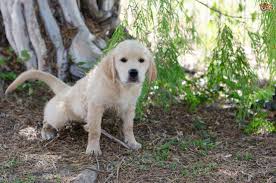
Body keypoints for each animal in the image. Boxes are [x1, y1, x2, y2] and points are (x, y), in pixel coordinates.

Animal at [5, 39, 157, 155]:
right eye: (123, 60)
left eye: (141, 60)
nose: (133, 72)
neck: (122, 86)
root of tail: (66, 90)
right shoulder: (96, 106)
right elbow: (96, 131)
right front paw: (93, 149)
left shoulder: (129, 108)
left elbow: (128, 127)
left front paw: (132, 142)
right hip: (59, 116)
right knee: (47, 119)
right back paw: (46, 131)